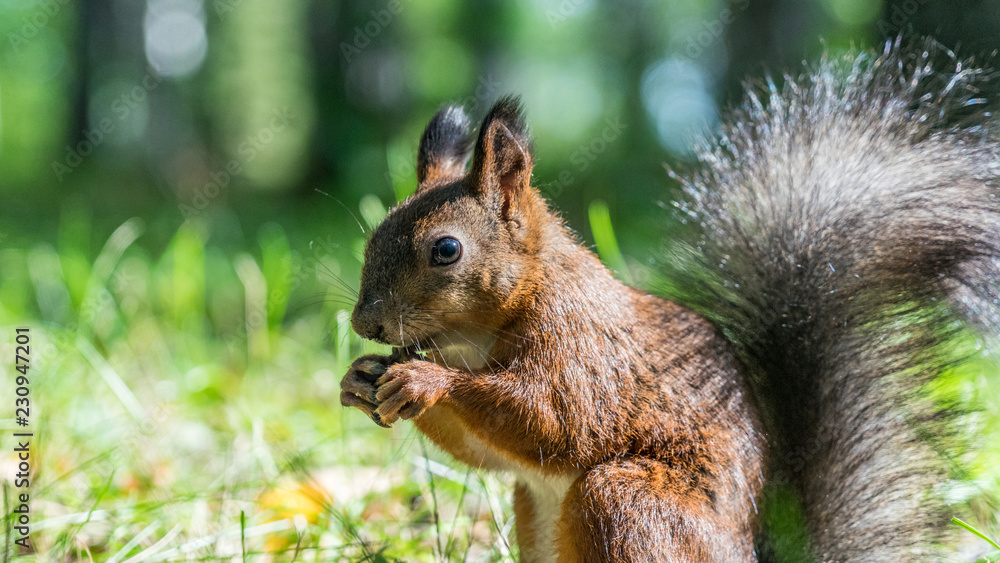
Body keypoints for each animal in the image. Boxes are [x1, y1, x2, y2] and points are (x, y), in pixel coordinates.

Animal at [340, 39, 1000, 562]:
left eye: (446, 249)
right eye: (371, 238)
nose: (365, 323)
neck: (474, 339)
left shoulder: (583, 346)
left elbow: (556, 420)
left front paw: (425, 379)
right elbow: (489, 452)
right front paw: (360, 379)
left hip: (628, 503)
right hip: (539, 514)